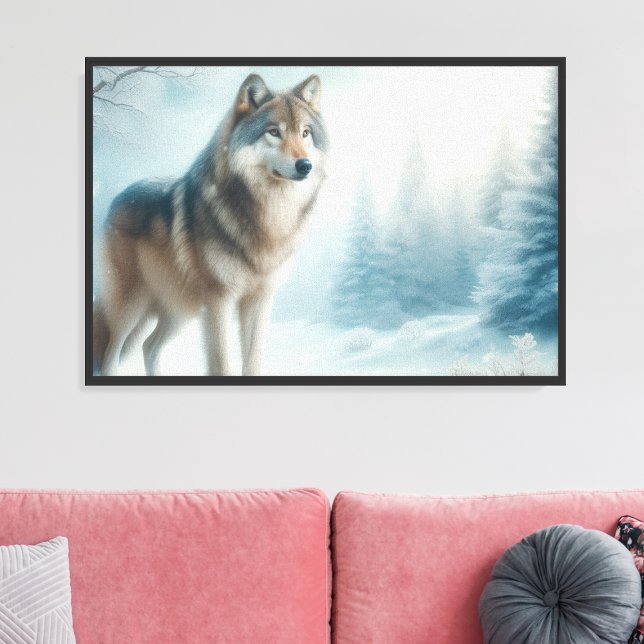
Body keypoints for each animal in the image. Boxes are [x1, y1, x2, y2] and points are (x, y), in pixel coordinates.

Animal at [93, 73, 328, 376]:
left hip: (179, 310)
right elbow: (221, 364)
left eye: (305, 133)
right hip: (130, 306)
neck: (268, 217)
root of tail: (118, 197)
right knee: (110, 355)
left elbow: (252, 363)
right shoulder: (219, 300)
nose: (305, 165)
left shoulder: (259, 300)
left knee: (149, 346)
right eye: (274, 132)